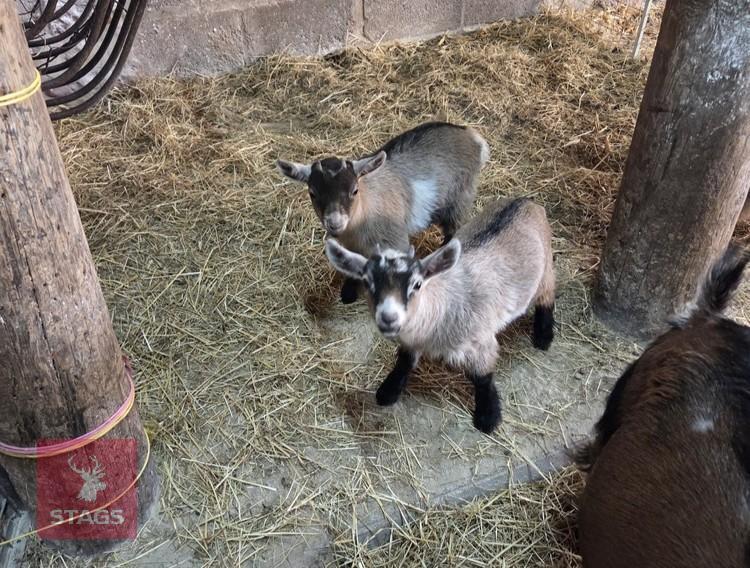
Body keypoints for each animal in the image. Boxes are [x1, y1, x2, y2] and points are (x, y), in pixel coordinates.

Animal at [277, 122, 489, 304]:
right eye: (312, 193)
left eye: (354, 190)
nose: (334, 223)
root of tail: (470, 135)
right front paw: (348, 293)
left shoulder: (395, 241)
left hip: (460, 198)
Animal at [325, 197, 555, 433]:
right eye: (367, 282)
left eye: (417, 284)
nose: (389, 317)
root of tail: (527, 201)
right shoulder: (411, 342)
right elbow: (405, 361)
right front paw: (388, 391)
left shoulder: (481, 341)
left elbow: (483, 378)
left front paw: (487, 417)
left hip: (545, 270)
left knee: (547, 296)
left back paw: (543, 336)